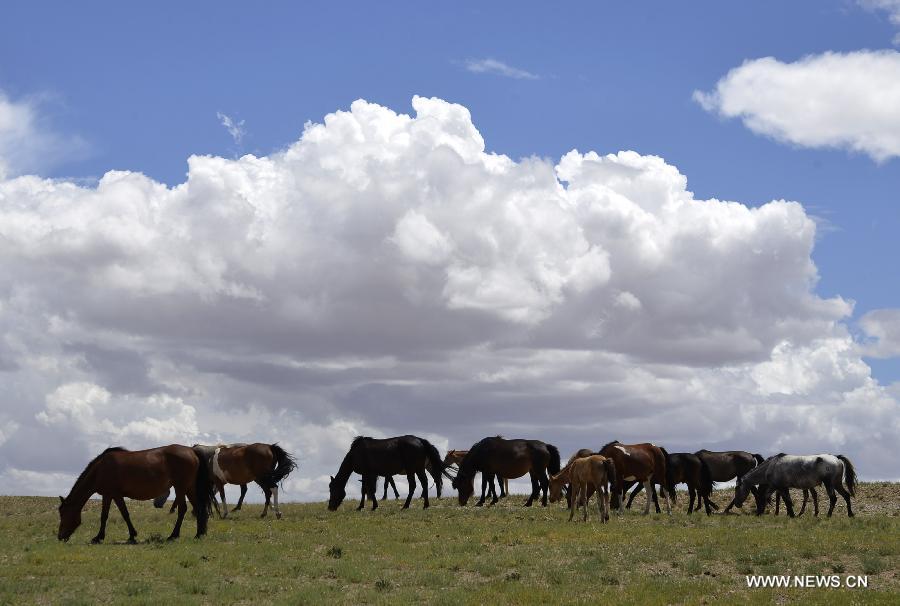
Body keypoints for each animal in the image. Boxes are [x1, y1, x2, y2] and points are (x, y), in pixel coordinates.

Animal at [56, 446, 213, 548]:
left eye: (63, 514)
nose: (60, 537)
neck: (101, 469)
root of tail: (192, 450)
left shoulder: (115, 494)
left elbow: (123, 514)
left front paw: (130, 535)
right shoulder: (108, 495)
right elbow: (105, 516)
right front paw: (100, 537)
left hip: (180, 488)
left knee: (182, 509)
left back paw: (173, 535)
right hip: (189, 488)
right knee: (199, 508)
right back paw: (199, 534)